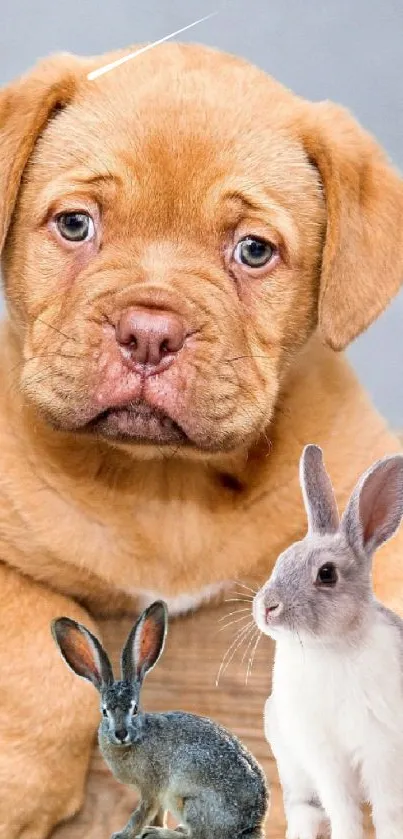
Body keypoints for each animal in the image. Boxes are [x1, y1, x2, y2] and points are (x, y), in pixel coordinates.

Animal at [52, 600, 270, 839]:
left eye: (135, 709)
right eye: (104, 712)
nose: (121, 733)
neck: (137, 738)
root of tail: (250, 827)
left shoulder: (151, 788)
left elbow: (141, 813)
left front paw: (123, 835)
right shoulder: (156, 794)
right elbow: (157, 813)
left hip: (190, 802)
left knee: (198, 835)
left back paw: (159, 833)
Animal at [254, 446, 403, 839]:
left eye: (327, 574)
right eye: (281, 560)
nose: (267, 607)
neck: (330, 649)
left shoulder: (382, 752)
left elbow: (388, 812)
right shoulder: (325, 757)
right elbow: (342, 809)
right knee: (304, 808)